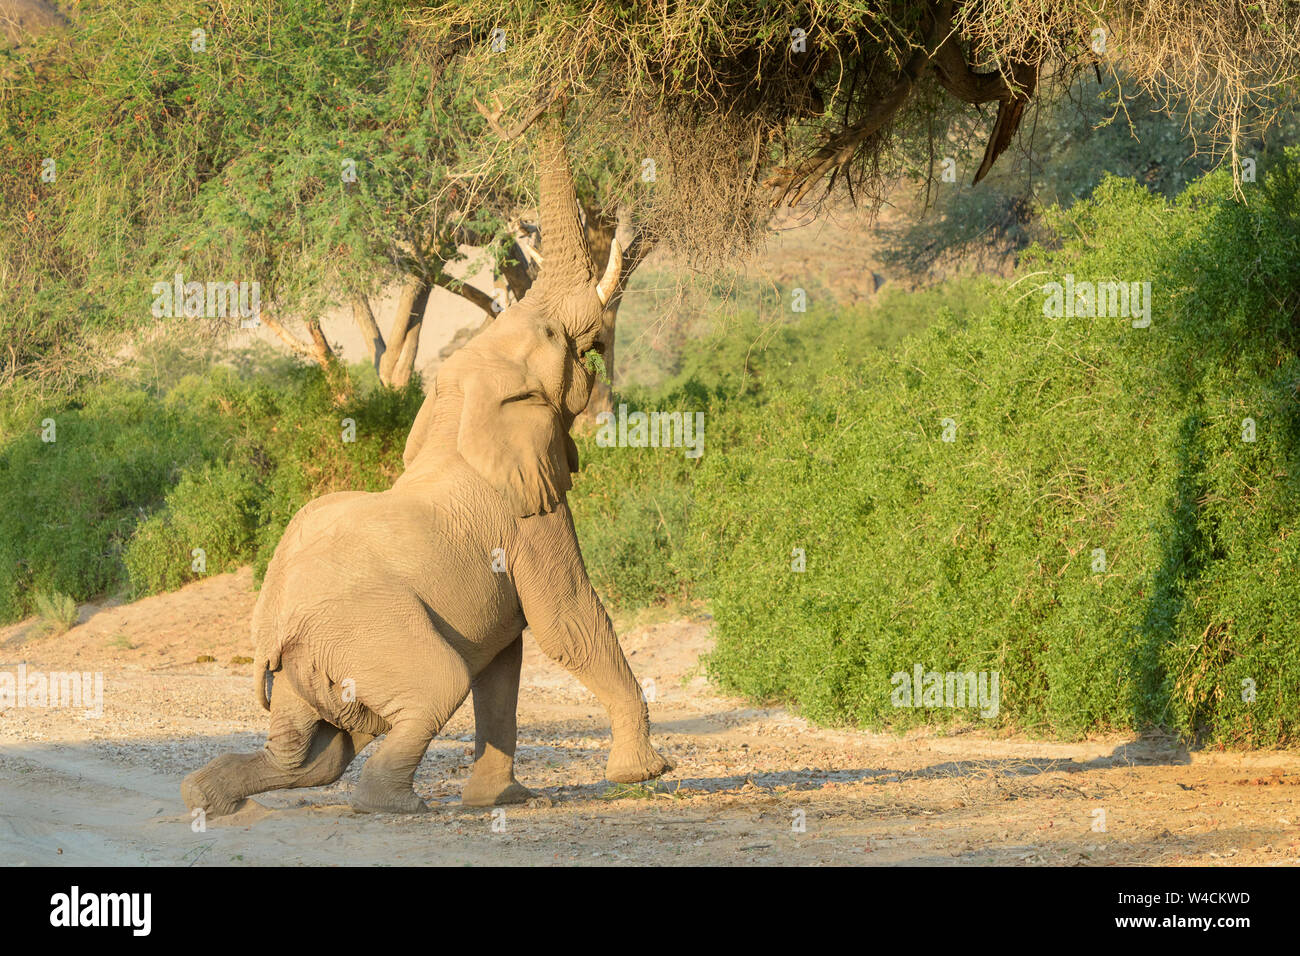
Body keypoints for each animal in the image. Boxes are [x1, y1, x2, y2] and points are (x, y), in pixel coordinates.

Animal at [180, 110, 681, 816]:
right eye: (554, 338)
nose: (540, 105)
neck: (460, 403)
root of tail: (270, 633)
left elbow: (506, 662)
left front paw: (501, 800)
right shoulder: (528, 516)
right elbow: (566, 624)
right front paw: (645, 774)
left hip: (310, 667)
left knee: (310, 757)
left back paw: (204, 796)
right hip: (367, 635)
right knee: (433, 687)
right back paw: (393, 804)